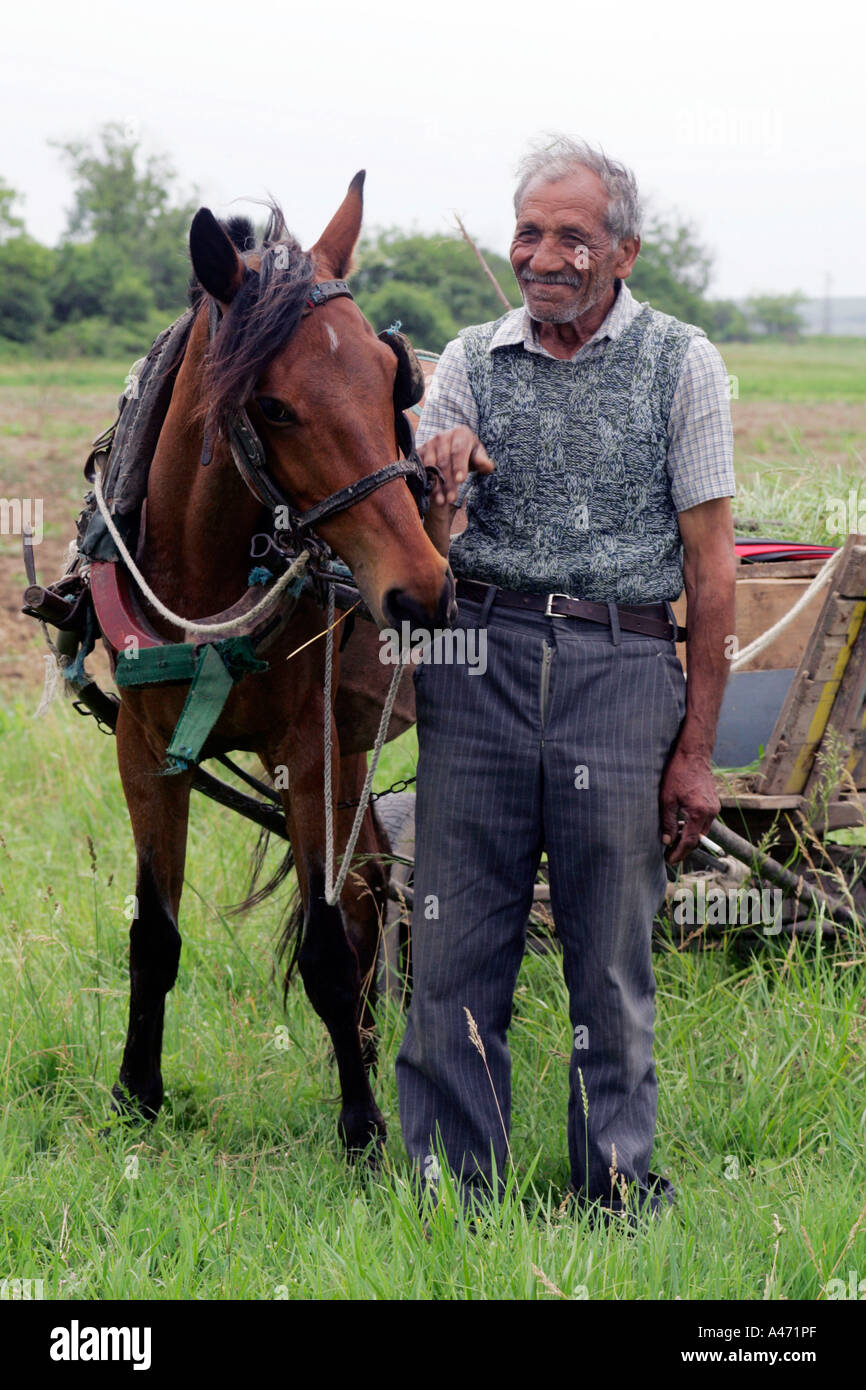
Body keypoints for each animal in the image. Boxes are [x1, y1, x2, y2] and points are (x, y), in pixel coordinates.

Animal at [109, 170, 453, 1150]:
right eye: (272, 404)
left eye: (390, 378)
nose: (423, 591)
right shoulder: (145, 752)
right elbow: (155, 935)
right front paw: (136, 1096)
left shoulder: (307, 749)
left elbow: (328, 951)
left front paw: (363, 1129)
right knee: (374, 882)